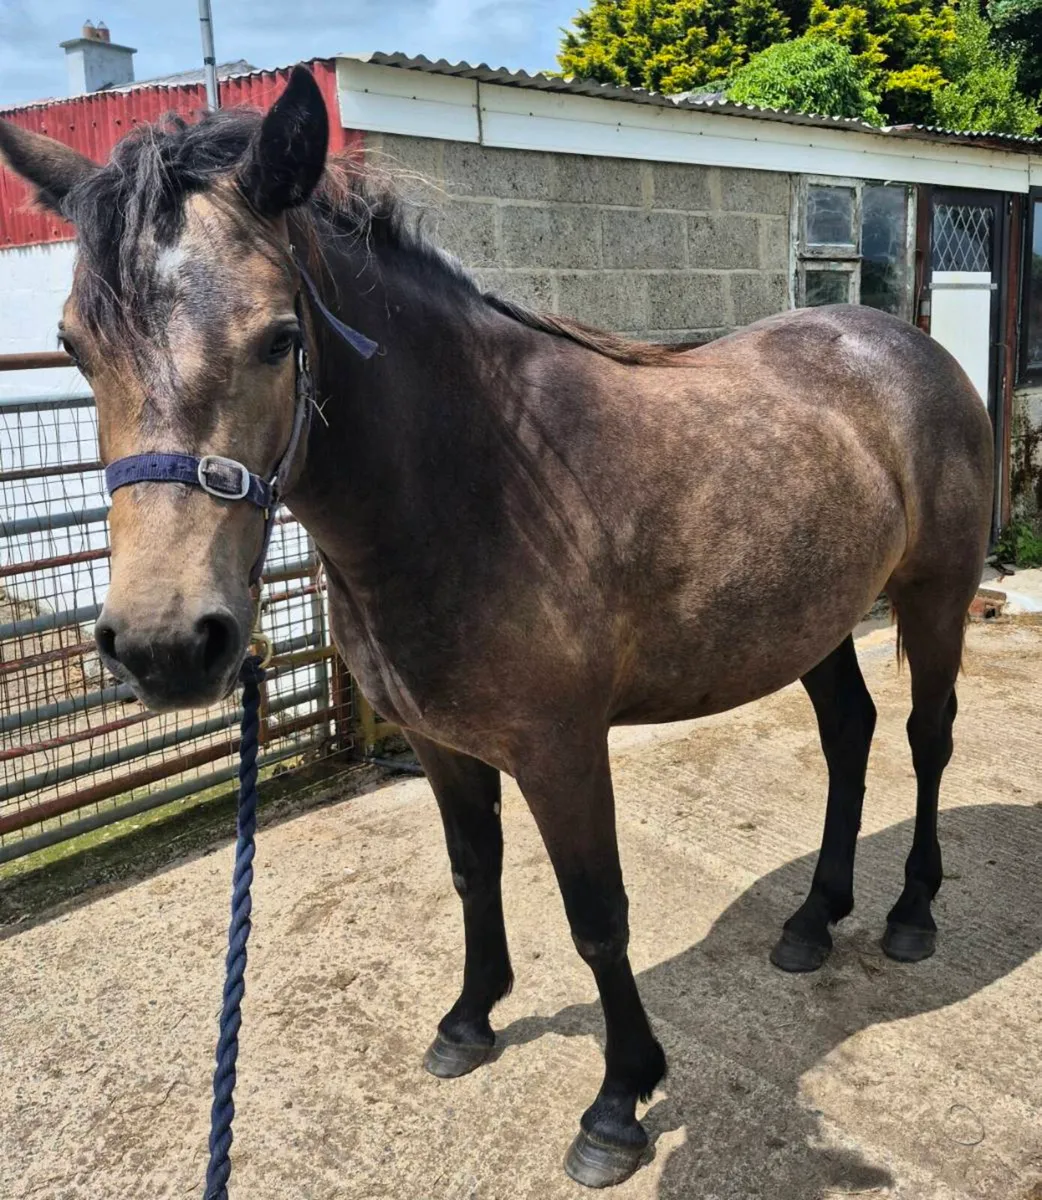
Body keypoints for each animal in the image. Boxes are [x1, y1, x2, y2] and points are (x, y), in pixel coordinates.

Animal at [0, 67, 993, 1188]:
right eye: (76, 348)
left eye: (280, 338)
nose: (166, 644)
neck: (473, 483)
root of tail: (904, 343)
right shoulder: (441, 744)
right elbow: (474, 873)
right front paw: (469, 1022)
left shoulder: (561, 751)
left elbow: (598, 917)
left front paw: (618, 1103)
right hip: (812, 623)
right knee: (848, 737)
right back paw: (813, 920)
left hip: (934, 598)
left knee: (925, 739)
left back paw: (909, 915)